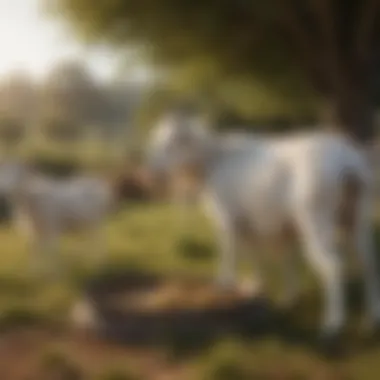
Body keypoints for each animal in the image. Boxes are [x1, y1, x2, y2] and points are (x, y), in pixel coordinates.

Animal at [146, 113, 380, 344]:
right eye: (156, 139)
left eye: (171, 142)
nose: (150, 172)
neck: (212, 161)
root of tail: (347, 162)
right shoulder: (266, 225)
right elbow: (271, 257)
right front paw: (270, 293)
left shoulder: (228, 218)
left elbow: (229, 253)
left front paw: (224, 285)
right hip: (357, 215)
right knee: (368, 261)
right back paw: (371, 319)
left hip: (316, 216)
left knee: (333, 266)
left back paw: (332, 326)